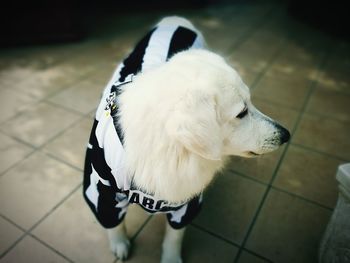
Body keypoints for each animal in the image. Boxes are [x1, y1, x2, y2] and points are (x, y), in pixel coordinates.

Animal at [82, 16, 290, 263]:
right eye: (241, 112)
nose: (286, 135)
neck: (167, 150)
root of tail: (175, 19)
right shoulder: (101, 189)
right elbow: (113, 223)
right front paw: (120, 244)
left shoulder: (186, 201)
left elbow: (174, 236)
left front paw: (171, 258)